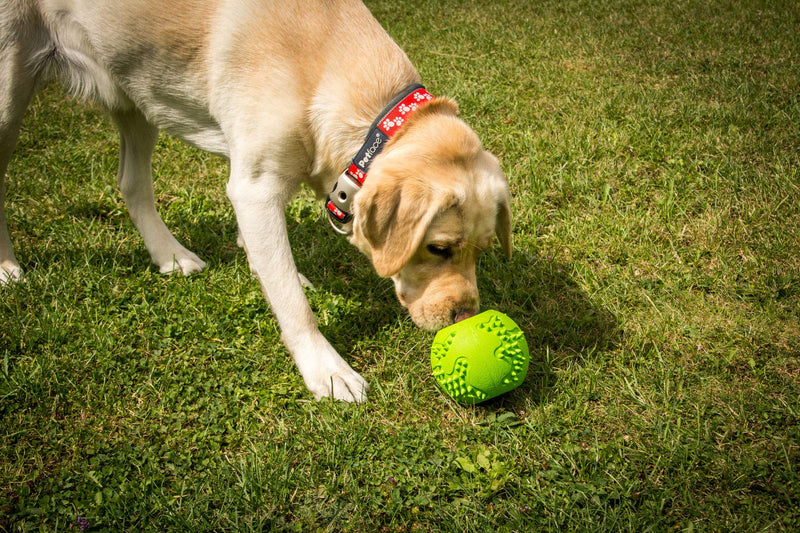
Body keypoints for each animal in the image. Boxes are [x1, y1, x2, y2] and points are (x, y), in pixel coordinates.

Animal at [0, 0, 510, 400]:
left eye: (484, 250)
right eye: (438, 248)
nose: (466, 316)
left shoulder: (257, 180)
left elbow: (272, 262)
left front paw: (265, 264)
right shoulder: (255, 186)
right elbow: (291, 301)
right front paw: (327, 370)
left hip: (134, 89)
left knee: (131, 182)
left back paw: (171, 255)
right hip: (10, 86)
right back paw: (8, 269)